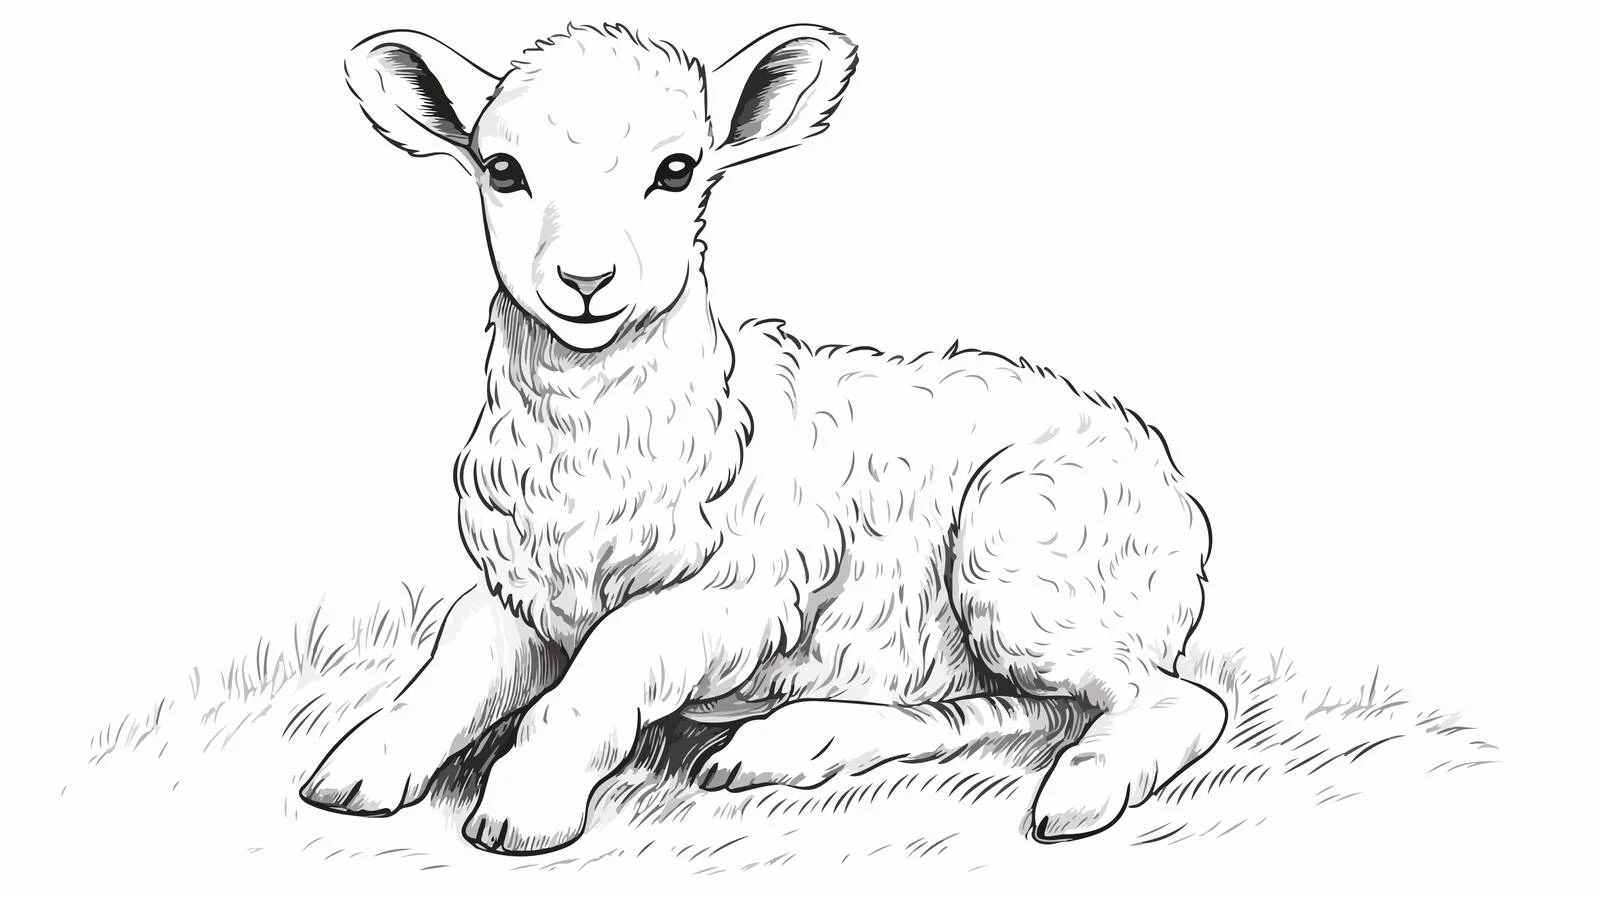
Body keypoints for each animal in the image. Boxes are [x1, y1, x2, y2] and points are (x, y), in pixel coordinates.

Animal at [301, 22, 1227, 856]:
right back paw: (794, 741)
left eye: (676, 171)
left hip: (1026, 556)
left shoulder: (742, 589)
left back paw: (1071, 796)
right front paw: (358, 768)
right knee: (1016, 705)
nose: (585, 280)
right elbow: (448, 672)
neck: (599, 447)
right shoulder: (520, 591)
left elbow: (599, 672)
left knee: (1168, 701)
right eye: (503, 170)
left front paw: (523, 806)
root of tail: (1173, 490)